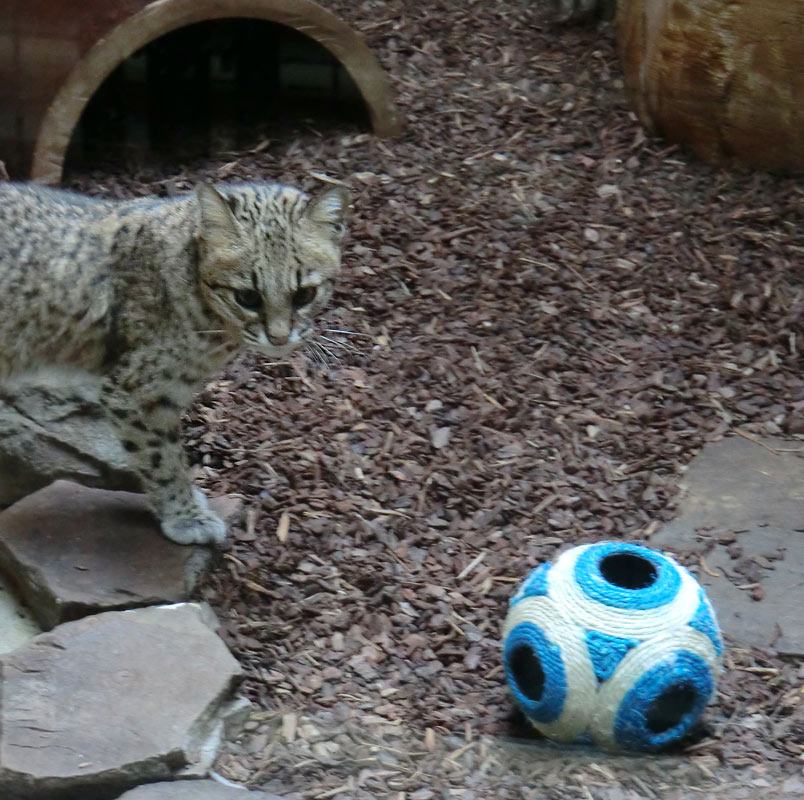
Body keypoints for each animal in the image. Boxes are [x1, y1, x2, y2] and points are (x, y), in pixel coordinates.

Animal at [0, 181, 352, 544]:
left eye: (304, 295)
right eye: (248, 297)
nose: (280, 339)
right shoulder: (134, 391)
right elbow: (162, 457)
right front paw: (185, 515)